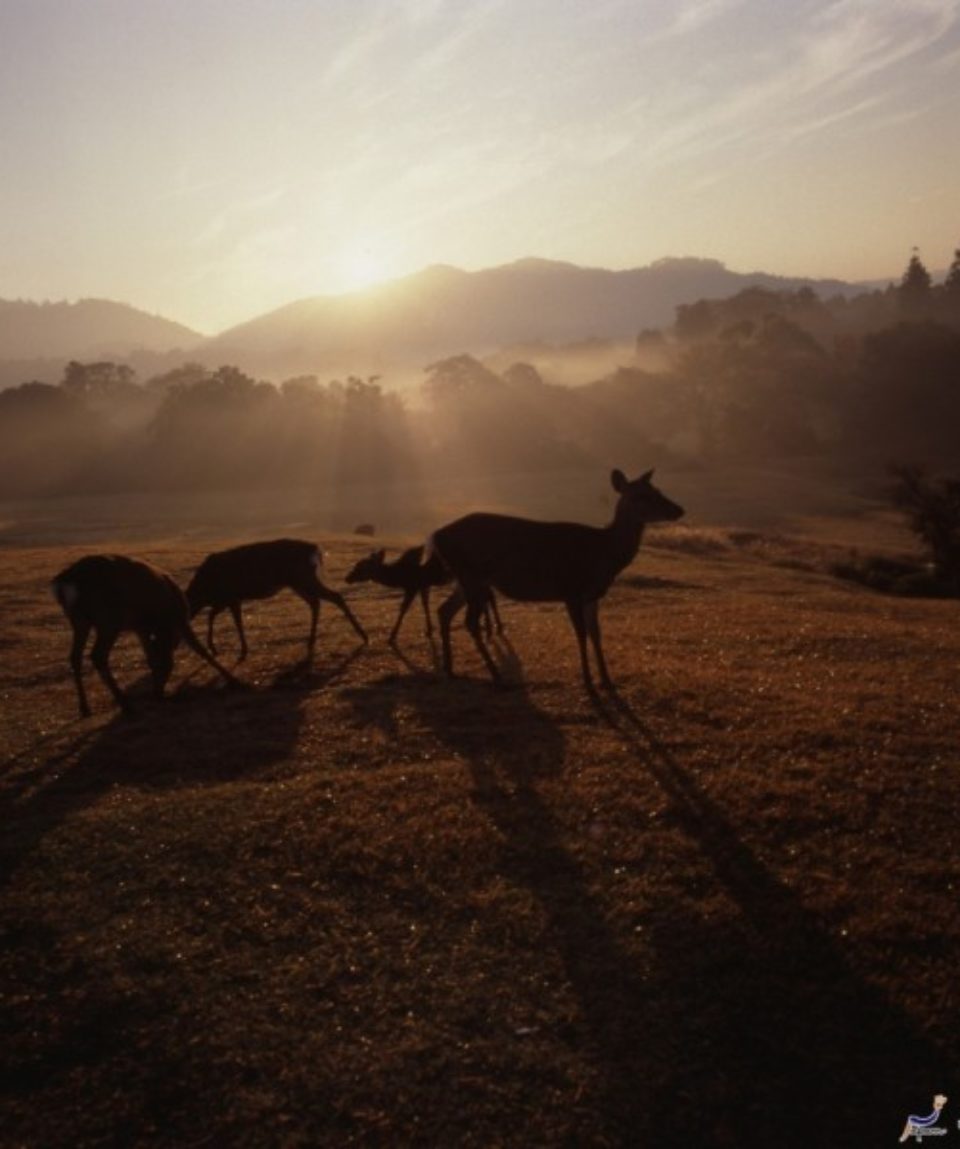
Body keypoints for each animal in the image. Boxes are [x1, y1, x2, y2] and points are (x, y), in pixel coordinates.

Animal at [50, 549, 242, 716]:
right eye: (167, 665)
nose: (159, 693)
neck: (162, 625)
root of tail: (64, 582)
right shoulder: (179, 620)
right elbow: (200, 649)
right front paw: (233, 680)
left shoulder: (140, 628)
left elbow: (149, 657)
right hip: (108, 619)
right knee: (97, 655)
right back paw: (126, 706)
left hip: (79, 620)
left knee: (75, 656)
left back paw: (85, 708)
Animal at [183, 540, 367, 666]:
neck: (203, 592)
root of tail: (315, 549)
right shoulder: (225, 599)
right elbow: (213, 616)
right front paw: (215, 648)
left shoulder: (231, 596)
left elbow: (235, 622)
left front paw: (241, 651)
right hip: (298, 582)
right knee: (315, 602)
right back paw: (311, 641)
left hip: (302, 578)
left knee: (334, 596)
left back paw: (363, 635)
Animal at [342, 544, 502, 648]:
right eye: (357, 564)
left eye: (361, 566)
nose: (347, 578)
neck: (400, 575)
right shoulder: (423, 585)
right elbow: (425, 604)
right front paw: (429, 630)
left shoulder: (413, 586)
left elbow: (403, 608)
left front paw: (392, 637)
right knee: (489, 595)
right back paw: (491, 628)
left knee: (487, 595)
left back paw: (493, 628)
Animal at [427, 468, 684, 684]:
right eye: (641, 496)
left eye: (658, 490)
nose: (679, 510)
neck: (603, 554)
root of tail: (436, 535)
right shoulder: (571, 590)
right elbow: (581, 634)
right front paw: (588, 679)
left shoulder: (592, 596)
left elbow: (596, 634)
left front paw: (606, 679)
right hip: (472, 575)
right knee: (469, 621)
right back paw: (496, 675)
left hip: (466, 579)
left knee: (444, 610)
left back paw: (450, 669)